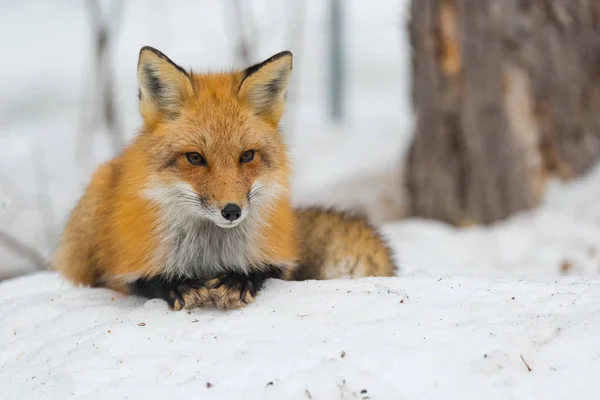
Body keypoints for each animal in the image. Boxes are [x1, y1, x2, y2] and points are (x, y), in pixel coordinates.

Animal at [52, 46, 398, 310]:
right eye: (195, 158)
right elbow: (146, 281)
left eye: (247, 156)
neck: (209, 254)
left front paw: (239, 280)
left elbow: (264, 271)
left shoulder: (278, 257)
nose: (232, 211)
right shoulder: (124, 268)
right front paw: (178, 286)